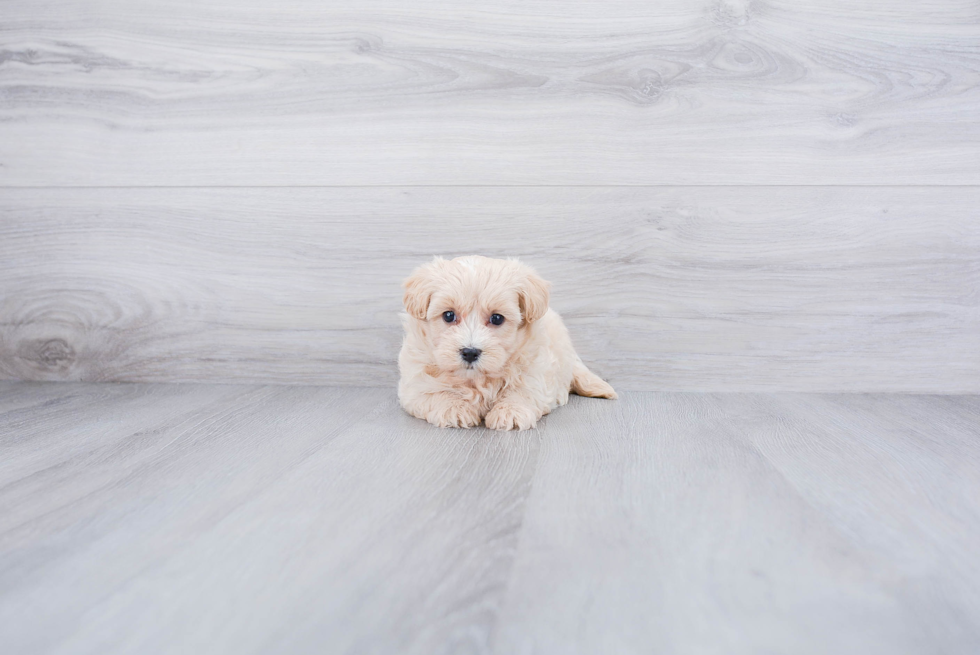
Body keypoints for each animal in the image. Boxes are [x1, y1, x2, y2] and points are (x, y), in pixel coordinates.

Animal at [396, 255, 612, 430]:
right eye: (448, 315)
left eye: (497, 318)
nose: (470, 352)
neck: (477, 379)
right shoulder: (415, 381)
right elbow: (434, 392)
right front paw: (454, 408)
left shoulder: (535, 370)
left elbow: (522, 391)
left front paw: (510, 412)